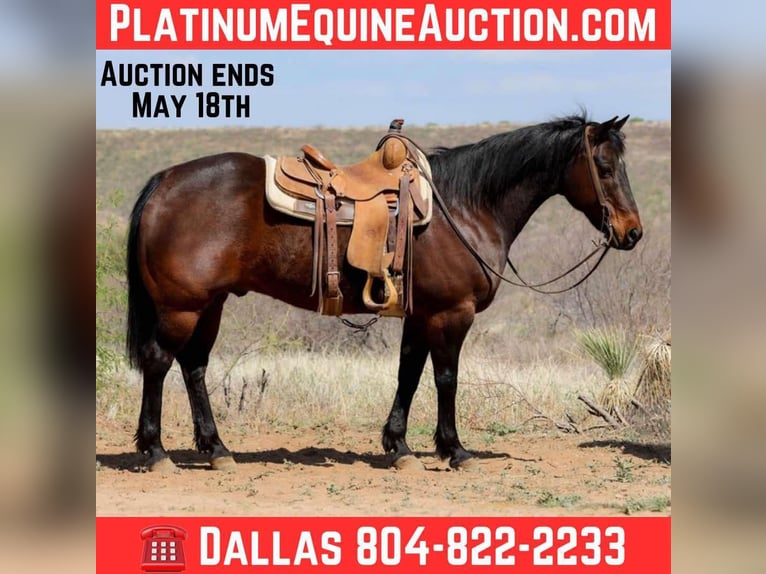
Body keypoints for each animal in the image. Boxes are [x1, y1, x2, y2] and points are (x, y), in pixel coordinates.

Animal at [126, 113, 642, 472]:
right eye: (603, 166)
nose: (632, 232)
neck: (465, 206)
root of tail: (165, 181)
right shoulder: (452, 314)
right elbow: (446, 379)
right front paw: (454, 450)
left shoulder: (420, 315)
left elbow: (407, 375)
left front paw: (398, 446)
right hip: (182, 307)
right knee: (159, 362)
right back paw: (155, 452)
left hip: (208, 305)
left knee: (194, 367)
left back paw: (217, 449)